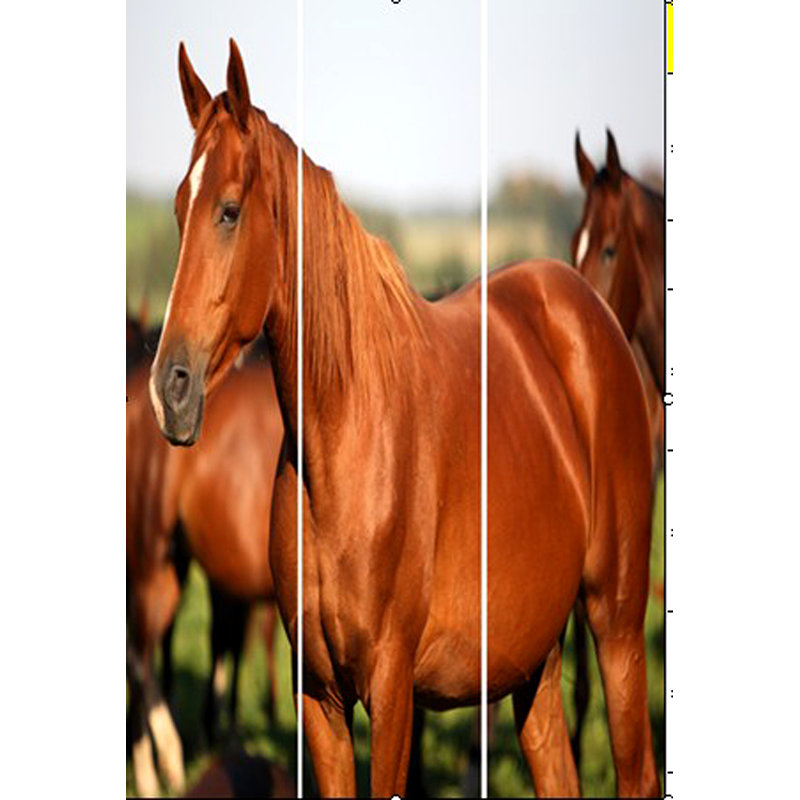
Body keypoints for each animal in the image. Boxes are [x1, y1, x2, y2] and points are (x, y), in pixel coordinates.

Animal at [149, 40, 659, 797]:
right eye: (181, 209)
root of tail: (587, 313)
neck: (344, 442)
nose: (169, 389)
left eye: (230, 211)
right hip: (534, 662)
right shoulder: (320, 699)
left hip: (617, 624)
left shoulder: (391, 694)